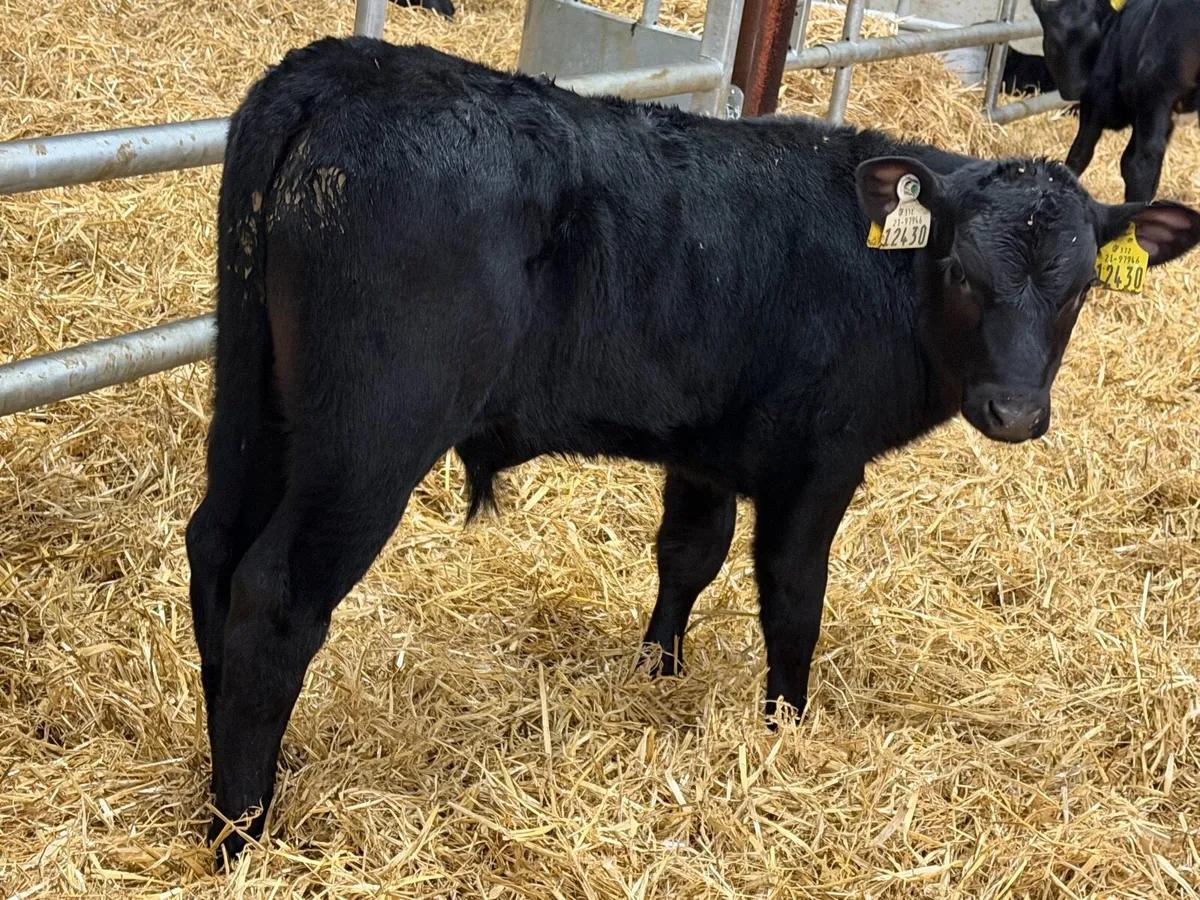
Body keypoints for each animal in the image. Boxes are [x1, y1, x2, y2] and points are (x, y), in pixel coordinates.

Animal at [185, 37, 1200, 861]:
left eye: (1078, 290)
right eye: (957, 270)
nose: (1014, 411)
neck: (877, 270)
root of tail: (344, 67)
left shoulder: (704, 445)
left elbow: (687, 555)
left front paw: (657, 671)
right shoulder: (820, 464)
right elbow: (792, 599)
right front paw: (786, 725)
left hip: (256, 405)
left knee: (215, 549)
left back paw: (220, 774)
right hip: (368, 437)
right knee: (277, 592)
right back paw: (245, 829)